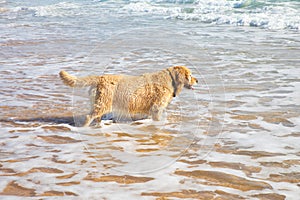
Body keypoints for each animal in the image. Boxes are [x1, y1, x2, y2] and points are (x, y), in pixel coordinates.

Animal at [59, 66, 198, 127]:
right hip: (103, 103)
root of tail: (100, 78)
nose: (197, 80)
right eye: (190, 75)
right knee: (89, 116)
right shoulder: (157, 108)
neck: (170, 80)